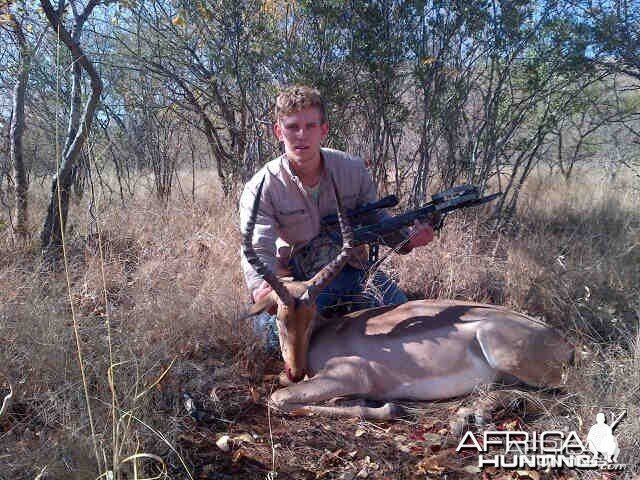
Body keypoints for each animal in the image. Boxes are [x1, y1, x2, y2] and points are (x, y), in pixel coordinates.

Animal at [242, 176, 572, 420]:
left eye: (310, 317)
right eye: (280, 319)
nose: (296, 370)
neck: (322, 335)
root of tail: (560, 339)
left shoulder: (350, 374)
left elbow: (278, 397)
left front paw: (386, 406)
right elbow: (282, 386)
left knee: (564, 397)